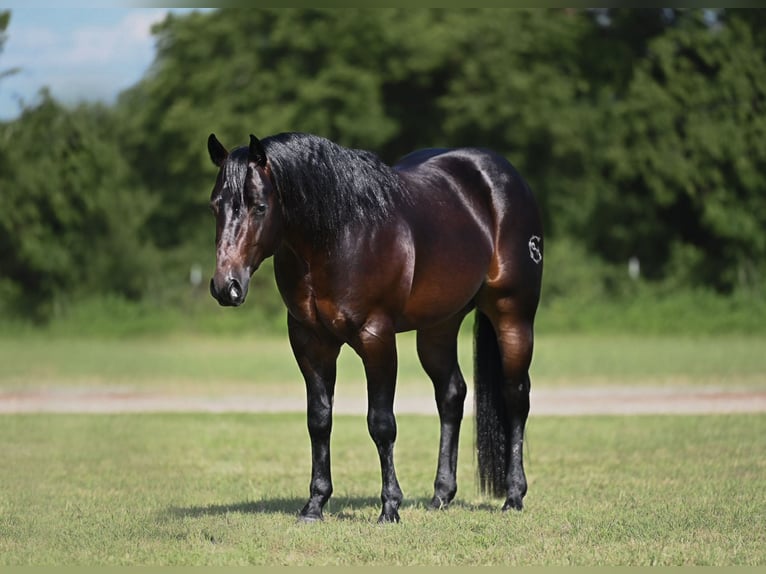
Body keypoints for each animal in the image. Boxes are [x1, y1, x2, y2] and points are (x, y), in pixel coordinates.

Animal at [206, 132, 543, 523]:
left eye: (259, 206)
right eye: (215, 206)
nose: (227, 286)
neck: (339, 236)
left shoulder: (376, 337)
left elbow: (381, 423)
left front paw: (390, 507)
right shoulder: (309, 341)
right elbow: (319, 420)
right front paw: (315, 504)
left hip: (513, 315)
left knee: (515, 396)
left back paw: (513, 496)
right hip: (439, 327)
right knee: (451, 395)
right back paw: (441, 495)